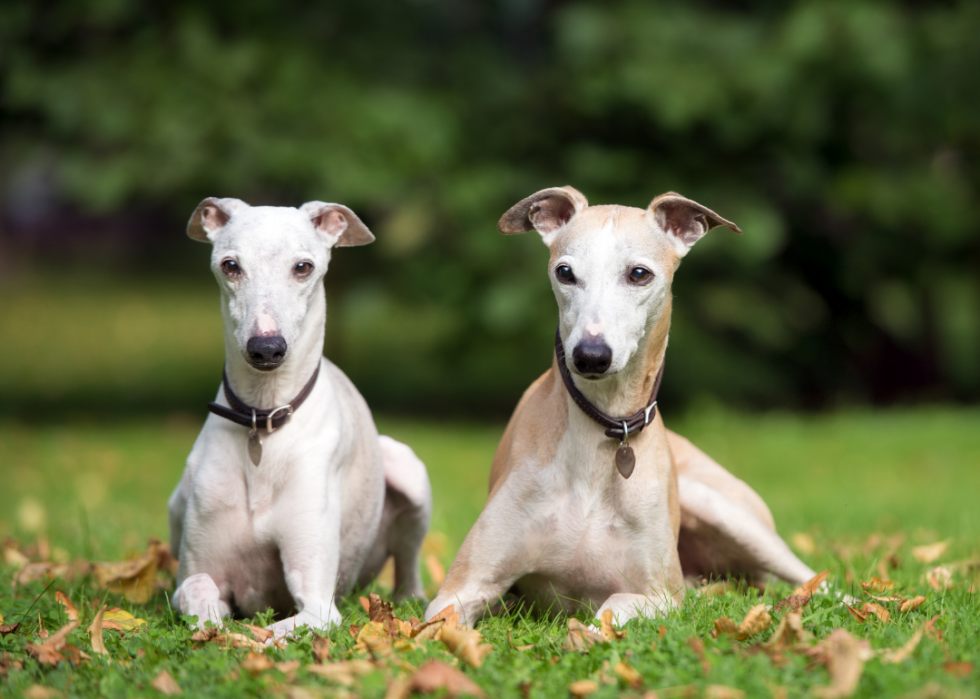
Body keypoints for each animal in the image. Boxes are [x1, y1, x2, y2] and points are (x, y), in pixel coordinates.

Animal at [168, 198, 432, 640]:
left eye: (303, 267)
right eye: (230, 265)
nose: (266, 348)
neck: (263, 418)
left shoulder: (319, 606)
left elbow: (275, 631)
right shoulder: (195, 570)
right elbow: (198, 587)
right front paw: (216, 631)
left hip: (408, 471)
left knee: (409, 563)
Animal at [424, 187, 816, 628]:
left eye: (639, 274)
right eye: (565, 272)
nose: (590, 356)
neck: (603, 426)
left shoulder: (661, 594)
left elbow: (606, 613)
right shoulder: (461, 587)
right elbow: (441, 622)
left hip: (724, 512)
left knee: (812, 578)